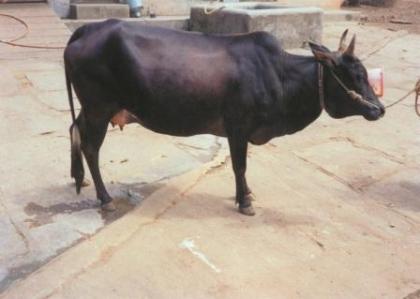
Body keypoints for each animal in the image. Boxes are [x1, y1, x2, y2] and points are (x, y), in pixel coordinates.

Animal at [65, 20, 384, 216]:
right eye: (355, 75)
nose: (379, 109)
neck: (279, 74)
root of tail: (89, 29)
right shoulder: (238, 128)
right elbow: (240, 167)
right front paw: (244, 202)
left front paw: (247, 194)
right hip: (99, 108)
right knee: (91, 147)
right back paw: (105, 198)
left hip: (89, 109)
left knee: (74, 130)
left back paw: (79, 179)